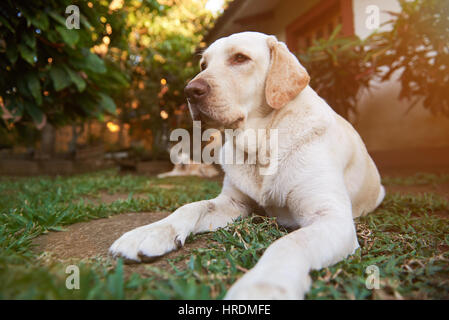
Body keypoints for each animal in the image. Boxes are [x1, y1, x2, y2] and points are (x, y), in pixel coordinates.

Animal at [109, 31, 384, 298]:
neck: (262, 145)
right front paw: (151, 231)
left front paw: (263, 286)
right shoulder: (233, 202)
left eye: (240, 58)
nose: (190, 91)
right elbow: (191, 206)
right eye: (203, 65)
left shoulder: (331, 218)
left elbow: (290, 243)